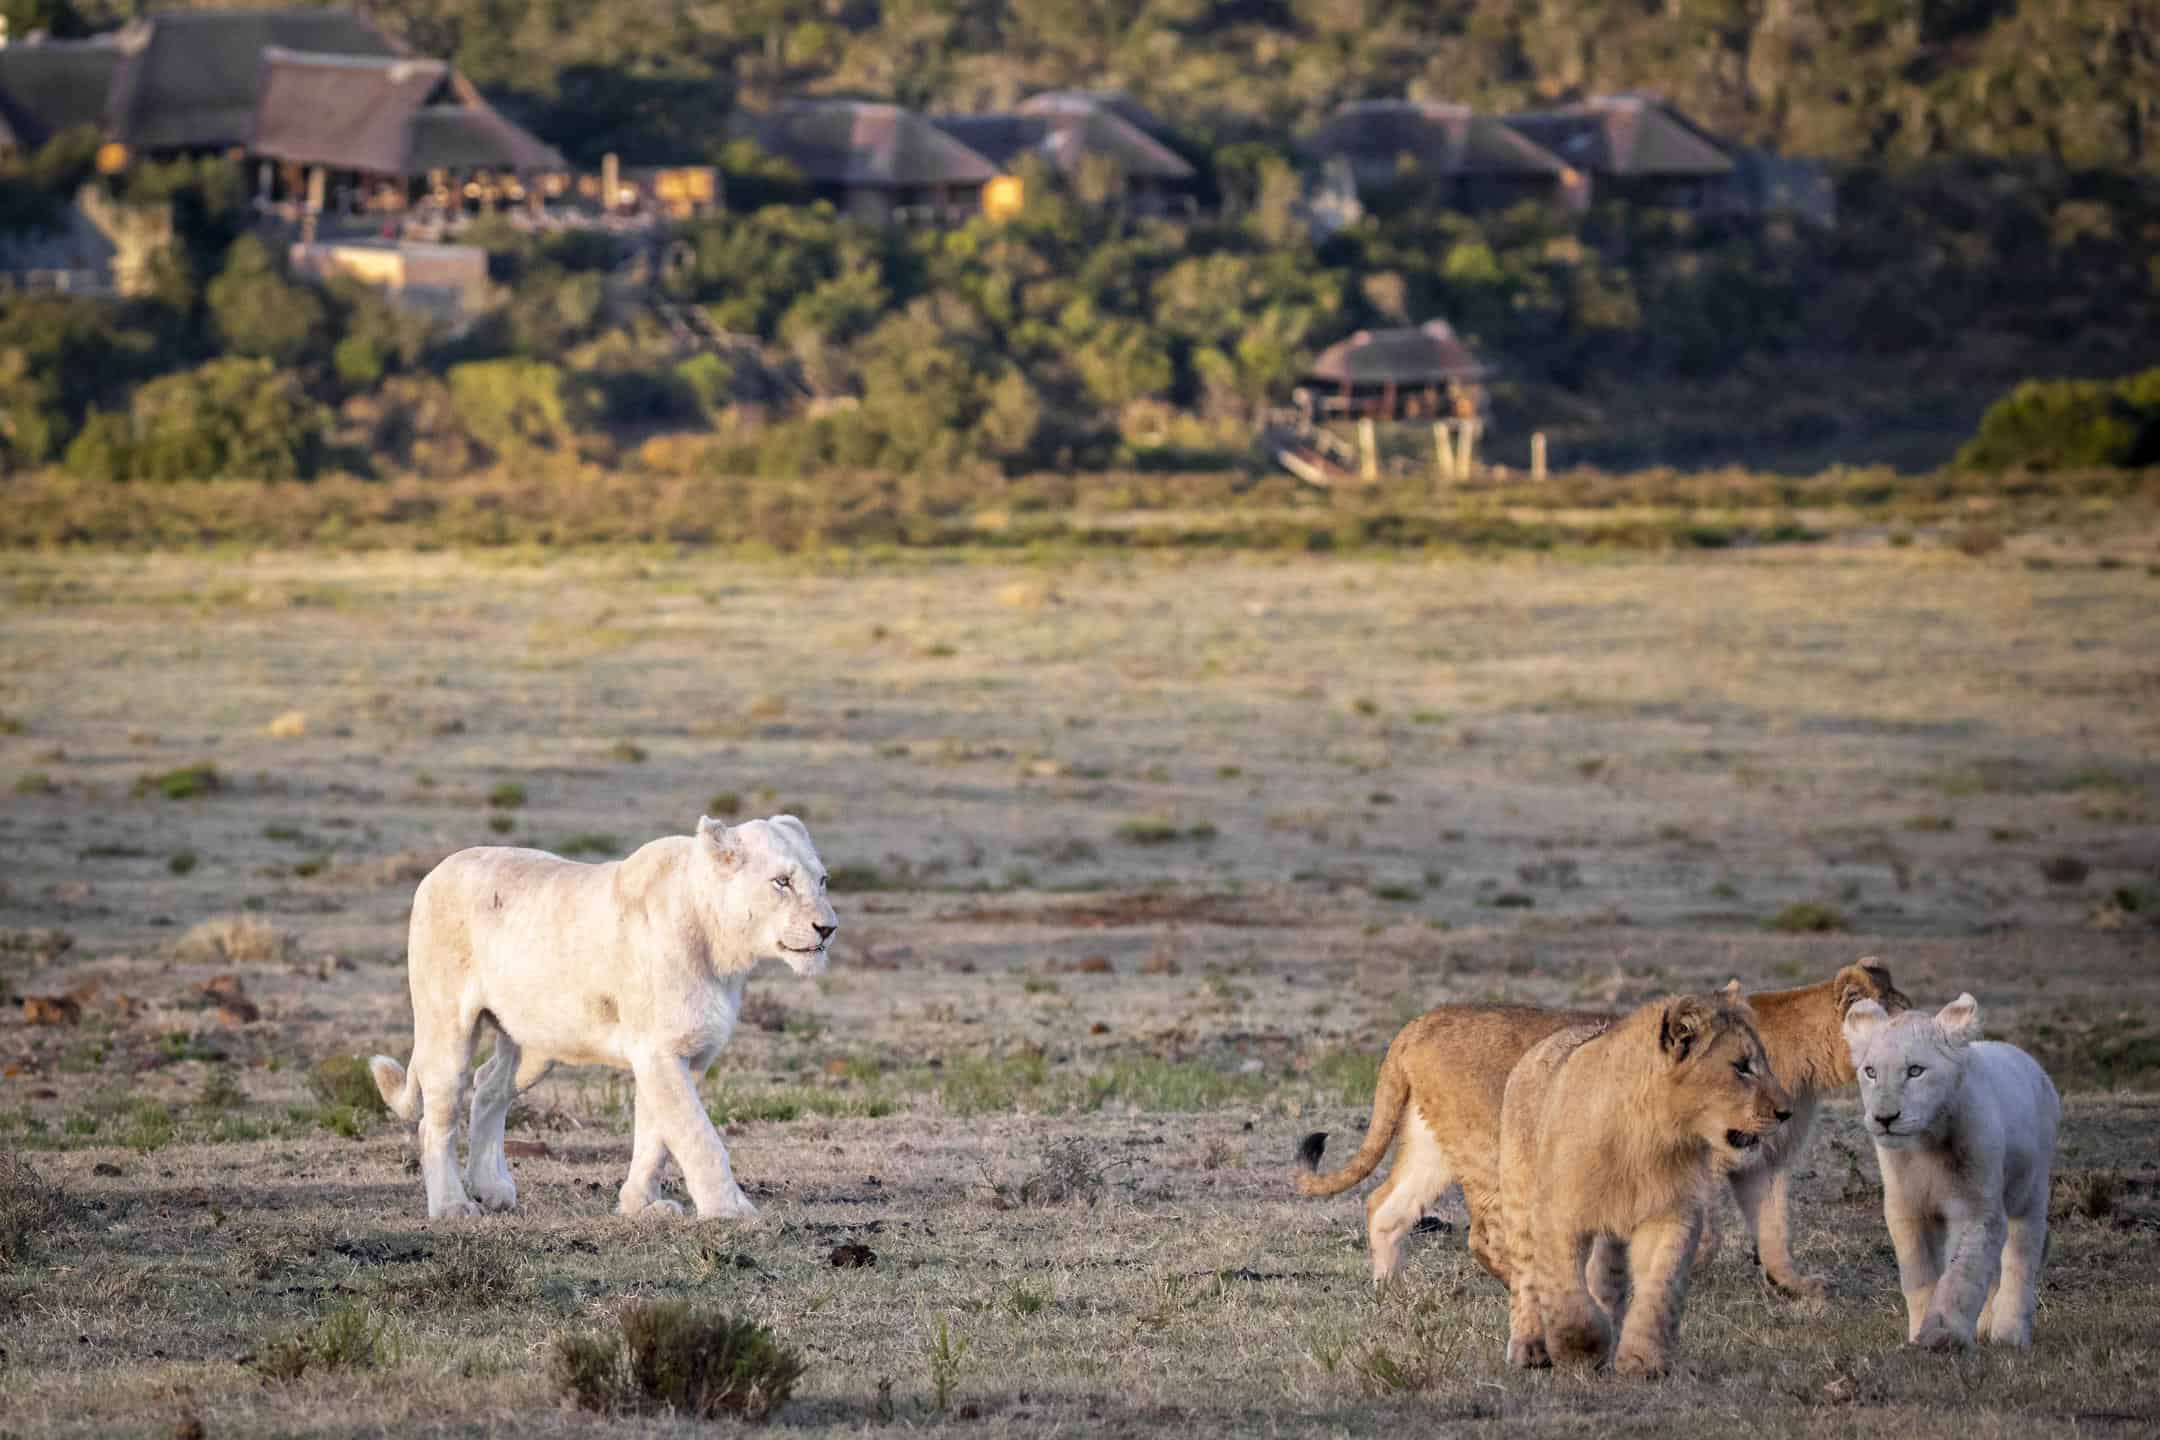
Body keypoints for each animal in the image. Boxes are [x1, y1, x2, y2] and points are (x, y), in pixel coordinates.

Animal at [370, 814, 837, 1221]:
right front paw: (729, 1210)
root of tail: (438, 870)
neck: (723, 949)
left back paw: (492, 1189)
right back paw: (452, 1206)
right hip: (445, 1026)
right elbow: (696, 1134)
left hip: (535, 1043)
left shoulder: (683, 1052)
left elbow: (657, 1136)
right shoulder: (658, 1051)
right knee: (437, 1118)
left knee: (489, 1087)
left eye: (822, 880)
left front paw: (641, 1206)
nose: (828, 928)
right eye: (782, 882)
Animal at [1293, 960, 1907, 1290]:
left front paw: (1798, 1289)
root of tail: (1417, 1022)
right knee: (1485, 1236)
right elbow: (1706, 1233)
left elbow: (1776, 1233)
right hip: (1490, 1150)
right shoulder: (1704, 1158)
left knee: (1386, 1206)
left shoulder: (1766, 1164)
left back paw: (1388, 1289)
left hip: (1435, 1144)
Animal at [1498, 994, 1791, 1378]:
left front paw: (1643, 1361)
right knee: (1526, 1278)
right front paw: (1580, 1350)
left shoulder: (1671, 1215)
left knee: (1605, 1274)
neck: (1653, 1139)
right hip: (1520, 1200)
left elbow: (1659, 1290)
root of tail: (1546, 1042)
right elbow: (1566, 1293)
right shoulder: (1556, 1216)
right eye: (1741, 1067)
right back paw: (1529, 1348)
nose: (1786, 1113)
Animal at [1843, 993, 2060, 1350]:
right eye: (1871, 1072)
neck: (1926, 1143)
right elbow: (1919, 1275)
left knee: (2021, 1256)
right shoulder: (1907, 1209)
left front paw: (1942, 1337)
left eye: (1915, 1071)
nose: (1885, 1118)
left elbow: (1962, 1274)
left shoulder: (1976, 1207)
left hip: (2031, 1189)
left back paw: (2009, 1332)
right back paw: (1984, 1325)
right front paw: (1919, 1333)